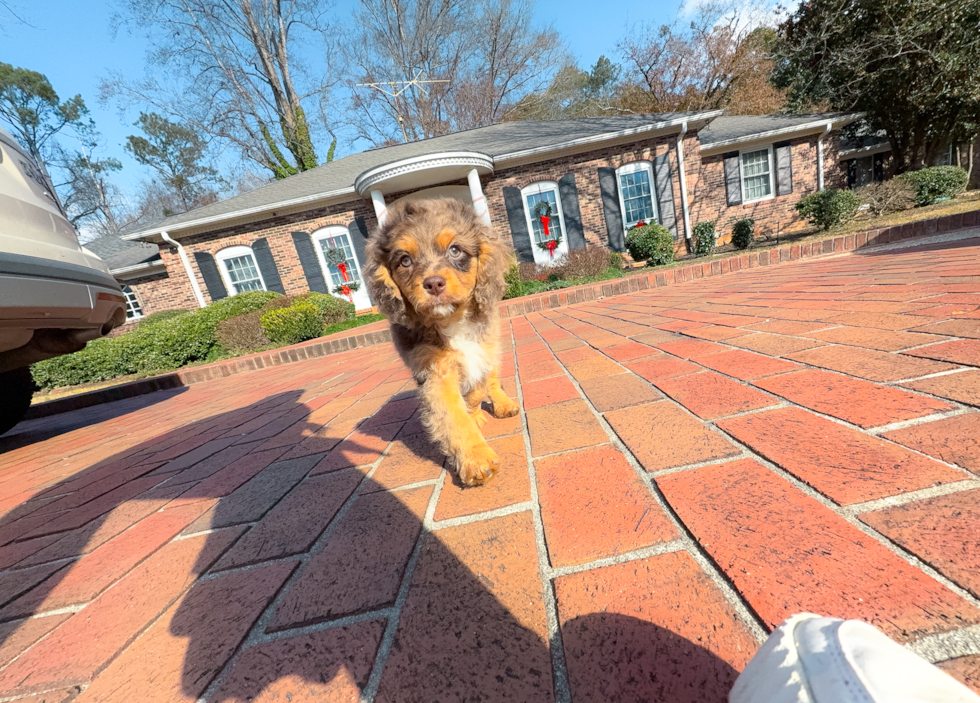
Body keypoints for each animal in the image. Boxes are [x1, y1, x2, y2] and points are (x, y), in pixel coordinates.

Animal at [366, 197, 520, 484]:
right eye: (405, 260)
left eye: (455, 250)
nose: (434, 283)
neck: (453, 320)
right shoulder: (435, 371)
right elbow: (454, 417)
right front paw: (476, 459)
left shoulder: (481, 352)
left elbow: (478, 389)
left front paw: (476, 414)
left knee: (493, 379)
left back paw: (504, 404)